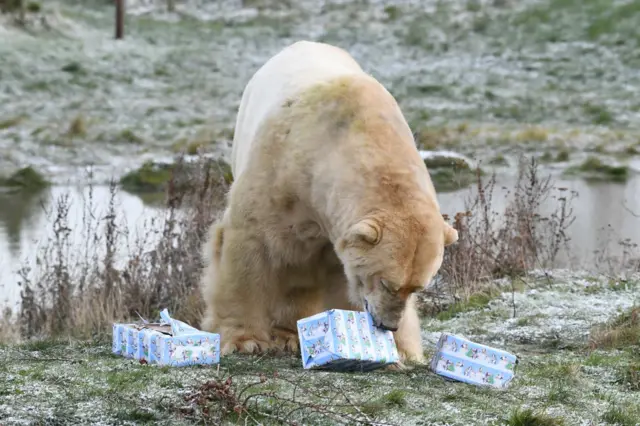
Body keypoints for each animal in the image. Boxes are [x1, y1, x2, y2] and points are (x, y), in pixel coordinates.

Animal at [198, 40, 458, 366]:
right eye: (387, 283)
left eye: (416, 287)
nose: (388, 325)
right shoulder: (278, 172)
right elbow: (249, 245)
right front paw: (244, 341)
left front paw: (401, 351)